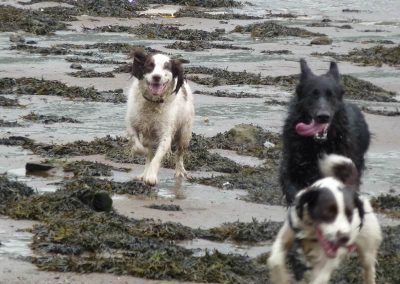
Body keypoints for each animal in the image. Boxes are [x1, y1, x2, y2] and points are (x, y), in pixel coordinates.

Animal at [125, 49, 194, 186]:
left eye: (166, 67)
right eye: (150, 65)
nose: (156, 77)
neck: (152, 102)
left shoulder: (166, 135)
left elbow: (157, 157)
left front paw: (151, 176)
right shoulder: (132, 125)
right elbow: (140, 147)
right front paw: (143, 157)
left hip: (184, 133)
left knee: (180, 154)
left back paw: (179, 172)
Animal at [268, 155, 382, 284]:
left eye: (350, 215)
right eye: (328, 212)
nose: (344, 238)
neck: (312, 232)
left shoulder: (330, 257)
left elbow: (321, 276)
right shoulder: (288, 232)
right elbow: (275, 260)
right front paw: (281, 278)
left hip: (368, 248)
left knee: (369, 269)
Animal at [280, 59, 370, 204]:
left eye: (331, 95)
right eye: (313, 94)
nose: (323, 116)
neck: (319, 146)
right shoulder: (290, 170)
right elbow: (293, 190)